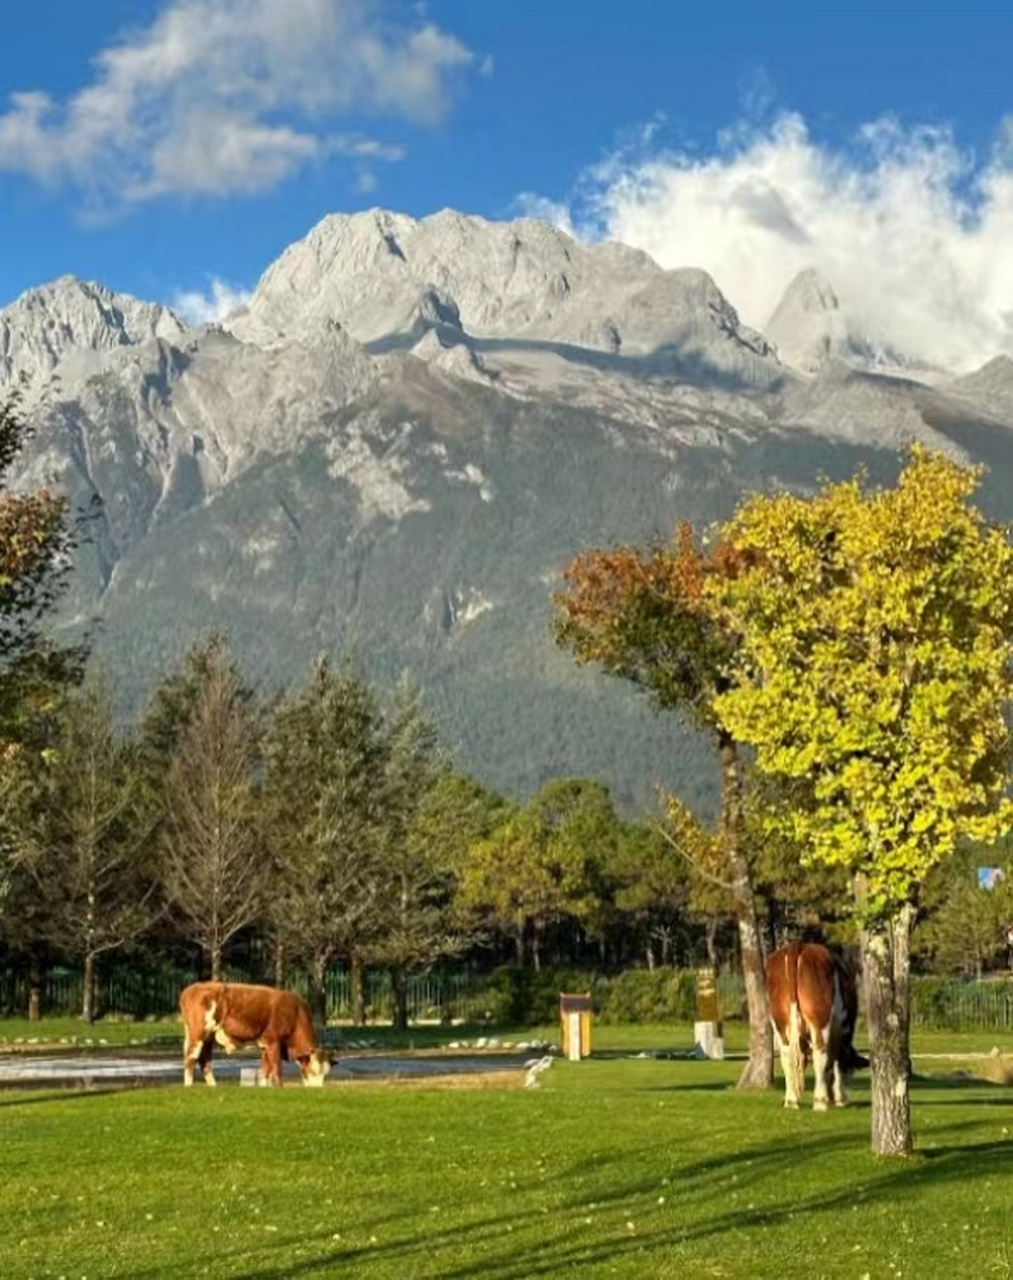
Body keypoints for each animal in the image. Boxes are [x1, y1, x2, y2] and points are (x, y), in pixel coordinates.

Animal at [178, 977, 327, 1090]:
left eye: (325, 1072)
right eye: (313, 1070)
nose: (318, 1089)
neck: (295, 1013)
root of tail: (192, 988)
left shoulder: (265, 1045)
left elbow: (266, 1069)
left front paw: (263, 1087)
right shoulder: (273, 1042)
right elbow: (276, 1068)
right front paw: (280, 1087)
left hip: (208, 1037)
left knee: (204, 1059)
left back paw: (213, 1086)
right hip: (197, 1033)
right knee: (191, 1057)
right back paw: (189, 1085)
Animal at [763, 942, 865, 1111]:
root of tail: (798, 946)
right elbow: (835, 1064)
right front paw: (839, 1098)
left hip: (780, 1022)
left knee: (786, 1055)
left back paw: (791, 1100)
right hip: (820, 1019)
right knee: (820, 1055)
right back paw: (820, 1101)